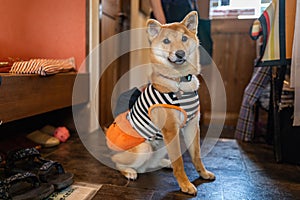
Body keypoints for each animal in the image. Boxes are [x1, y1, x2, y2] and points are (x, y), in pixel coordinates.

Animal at [106, 11, 214, 195]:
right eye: (166, 41)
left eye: (184, 38)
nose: (180, 54)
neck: (180, 81)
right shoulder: (171, 130)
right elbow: (180, 162)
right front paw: (185, 184)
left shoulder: (192, 126)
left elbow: (196, 156)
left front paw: (203, 173)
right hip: (144, 148)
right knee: (116, 161)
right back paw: (129, 171)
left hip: (162, 144)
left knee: (151, 164)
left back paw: (163, 164)